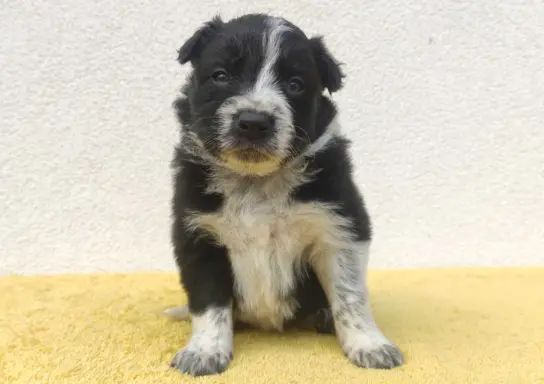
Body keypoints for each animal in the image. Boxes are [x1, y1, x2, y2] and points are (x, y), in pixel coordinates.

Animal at [170, 12, 404, 378]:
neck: (256, 181)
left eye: (294, 84)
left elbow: (350, 295)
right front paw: (204, 351)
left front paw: (369, 345)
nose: (253, 122)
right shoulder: (198, 234)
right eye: (221, 76)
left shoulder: (341, 228)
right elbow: (209, 303)